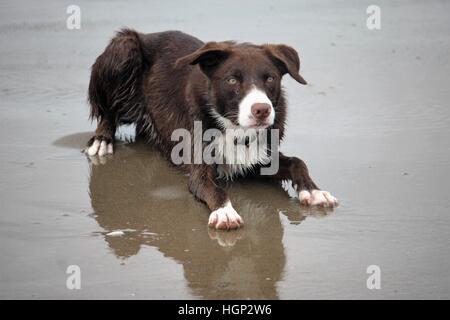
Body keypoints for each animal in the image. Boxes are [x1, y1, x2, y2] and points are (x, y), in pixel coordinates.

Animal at [85, 29, 338, 230]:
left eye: (270, 78)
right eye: (232, 80)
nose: (262, 110)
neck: (235, 129)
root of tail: (148, 34)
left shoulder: (262, 156)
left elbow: (297, 162)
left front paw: (314, 191)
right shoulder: (199, 171)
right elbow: (215, 189)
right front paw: (225, 212)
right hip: (124, 46)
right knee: (108, 111)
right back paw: (102, 140)